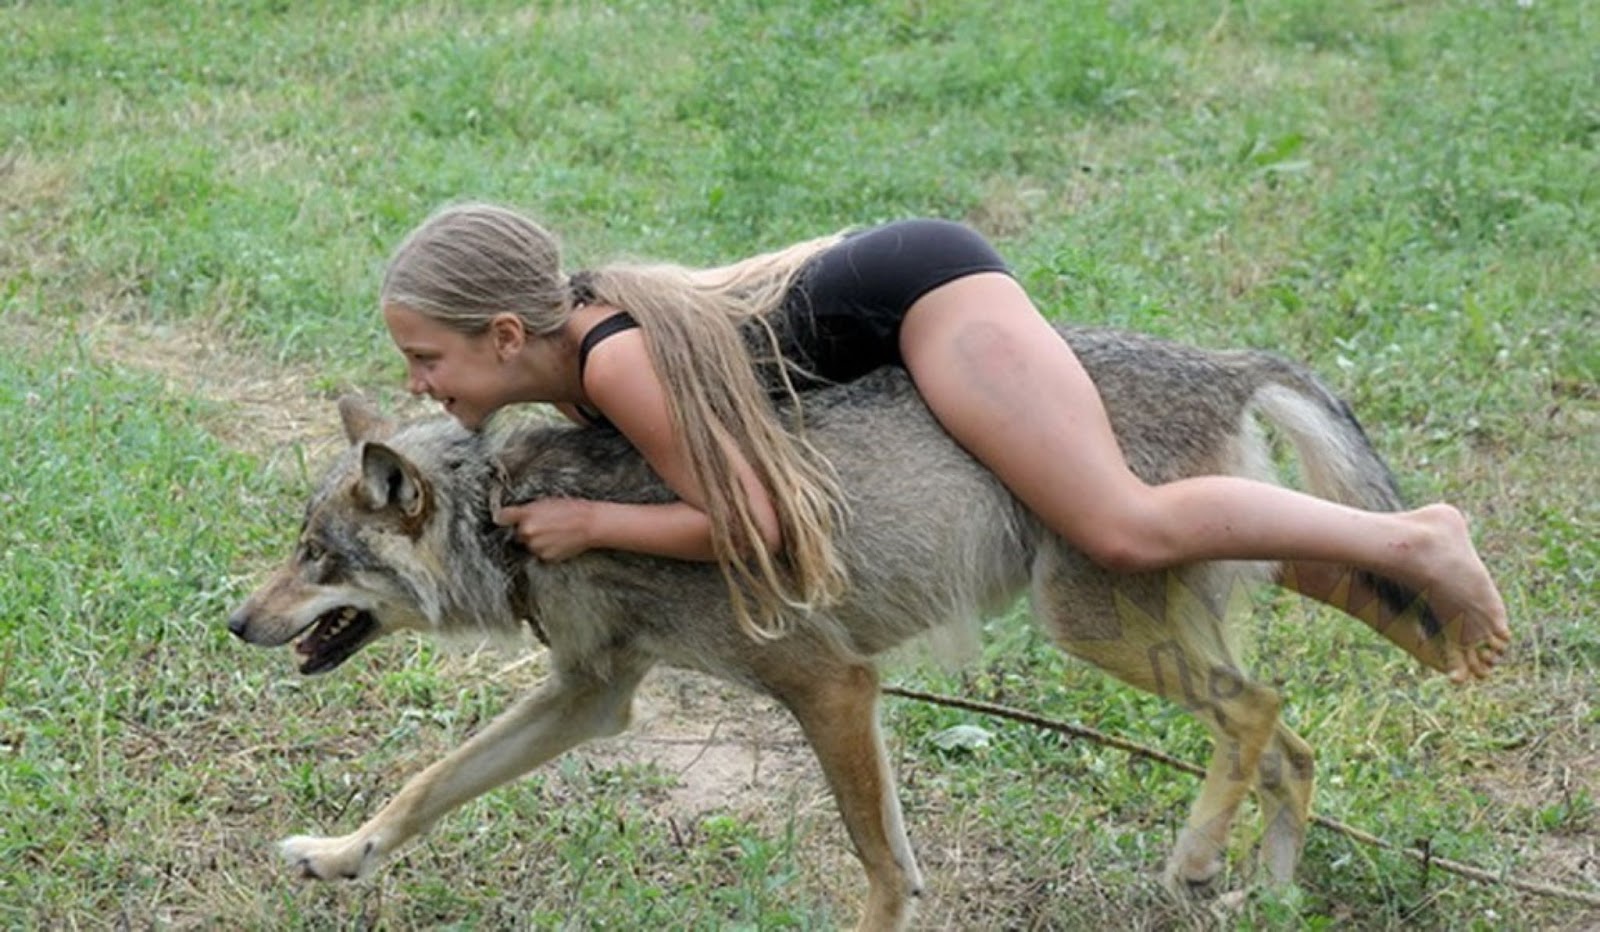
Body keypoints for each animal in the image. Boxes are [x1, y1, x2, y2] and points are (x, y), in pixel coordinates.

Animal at [225, 325, 1440, 928]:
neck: (510, 517)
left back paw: (1194, 858)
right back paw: (1264, 893)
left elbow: (880, 865)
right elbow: (426, 786)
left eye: (319, 557)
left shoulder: (831, 686)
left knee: (1260, 710)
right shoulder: (592, 695)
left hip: (1089, 621)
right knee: (1290, 745)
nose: (236, 619)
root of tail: (1230, 364)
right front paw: (336, 857)